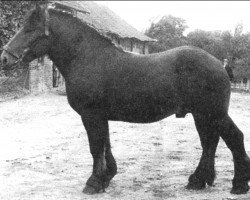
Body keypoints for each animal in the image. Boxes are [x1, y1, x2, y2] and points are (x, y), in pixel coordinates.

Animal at [0, 4, 250, 195]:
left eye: (30, 28)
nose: (4, 58)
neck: (87, 58)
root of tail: (218, 64)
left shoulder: (91, 116)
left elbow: (95, 147)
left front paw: (93, 183)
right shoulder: (101, 116)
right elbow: (105, 145)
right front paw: (106, 177)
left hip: (211, 113)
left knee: (225, 140)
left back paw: (231, 184)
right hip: (206, 115)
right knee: (216, 141)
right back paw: (206, 181)